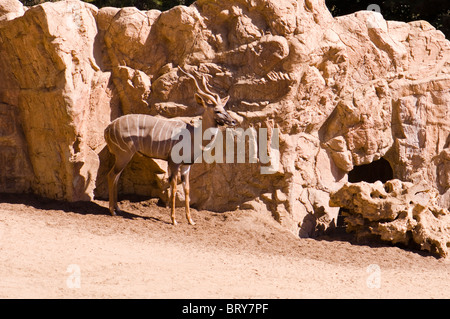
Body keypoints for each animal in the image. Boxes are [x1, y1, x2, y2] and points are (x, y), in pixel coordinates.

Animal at [104, 65, 237, 225]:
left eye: (224, 109)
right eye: (217, 111)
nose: (233, 121)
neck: (194, 135)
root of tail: (108, 128)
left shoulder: (186, 166)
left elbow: (187, 190)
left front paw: (190, 220)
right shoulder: (173, 163)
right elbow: (173, 189)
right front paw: (174, 220)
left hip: (123, 157)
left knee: (116, 177)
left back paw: (117, 208)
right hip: (124, 155)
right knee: (111, 175)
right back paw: (112, 211)